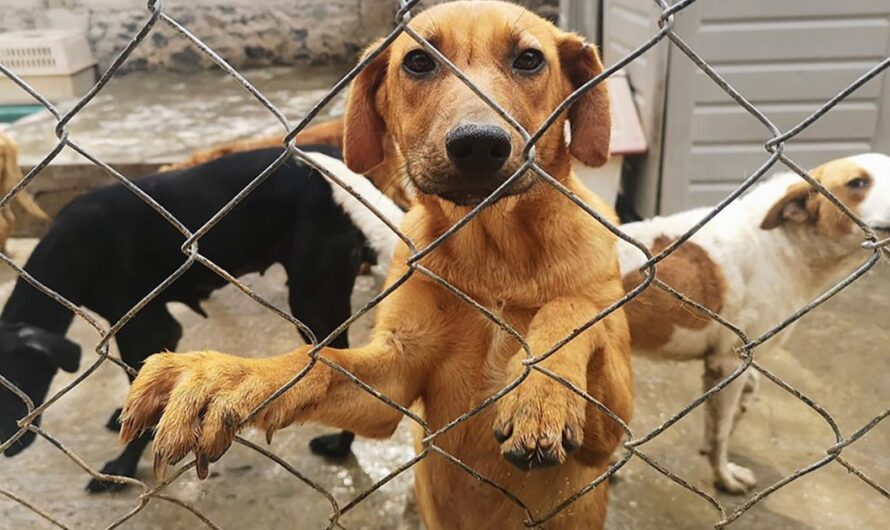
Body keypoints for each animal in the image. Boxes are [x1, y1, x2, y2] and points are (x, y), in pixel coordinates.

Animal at [0, 145, 396, 490]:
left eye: (14, 383)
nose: (6, 450)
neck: (71, 249)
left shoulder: (147, 328)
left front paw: (123, 466)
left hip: (313, 302)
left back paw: (341, 446)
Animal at [119, 2, 632, 524]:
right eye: (418, 61)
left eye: (529, 59)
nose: (479, 145)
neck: (494, 254)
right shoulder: (395, 379)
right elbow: (321, 361)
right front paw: (226, 376)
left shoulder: (610, 432)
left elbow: (572, 307)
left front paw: (542, 393)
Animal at [616, 153, 888, 490]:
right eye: (857, 183)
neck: (784, 241)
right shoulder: (729, 361)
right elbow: (722, 433)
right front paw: (724, 476)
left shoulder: (731, 360)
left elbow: (730, 407)